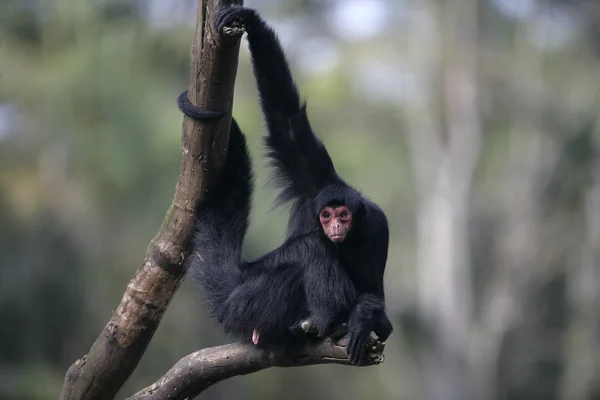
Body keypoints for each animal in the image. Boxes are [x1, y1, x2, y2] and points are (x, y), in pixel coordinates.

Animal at [180, 3, 392, 366]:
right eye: (327, 216)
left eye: (344, 215)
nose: (335, 225)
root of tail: (237, 284)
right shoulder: (313, 181)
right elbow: (287, 120)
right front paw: (252, 22)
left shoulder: (377, 225)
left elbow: (374, 292)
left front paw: (366, 317)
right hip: (251, 302)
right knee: (311, 249)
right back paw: (329, 322)